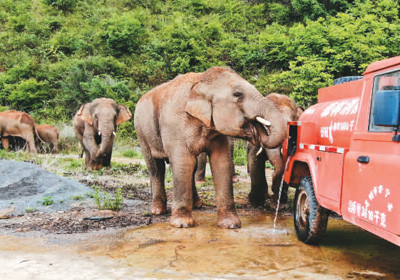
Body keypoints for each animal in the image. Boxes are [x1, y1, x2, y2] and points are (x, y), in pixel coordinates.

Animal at [135, 66, 288, 229]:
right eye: (237, 94)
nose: (256, 124)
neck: (200, 81)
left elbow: (221, 162)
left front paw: (231, 225)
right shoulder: (175, 125)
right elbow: (183, 163)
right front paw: (182, 224)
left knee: (191, 167)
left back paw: (196, 205)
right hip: (141, 130)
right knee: (156, 168)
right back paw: (158, 211)